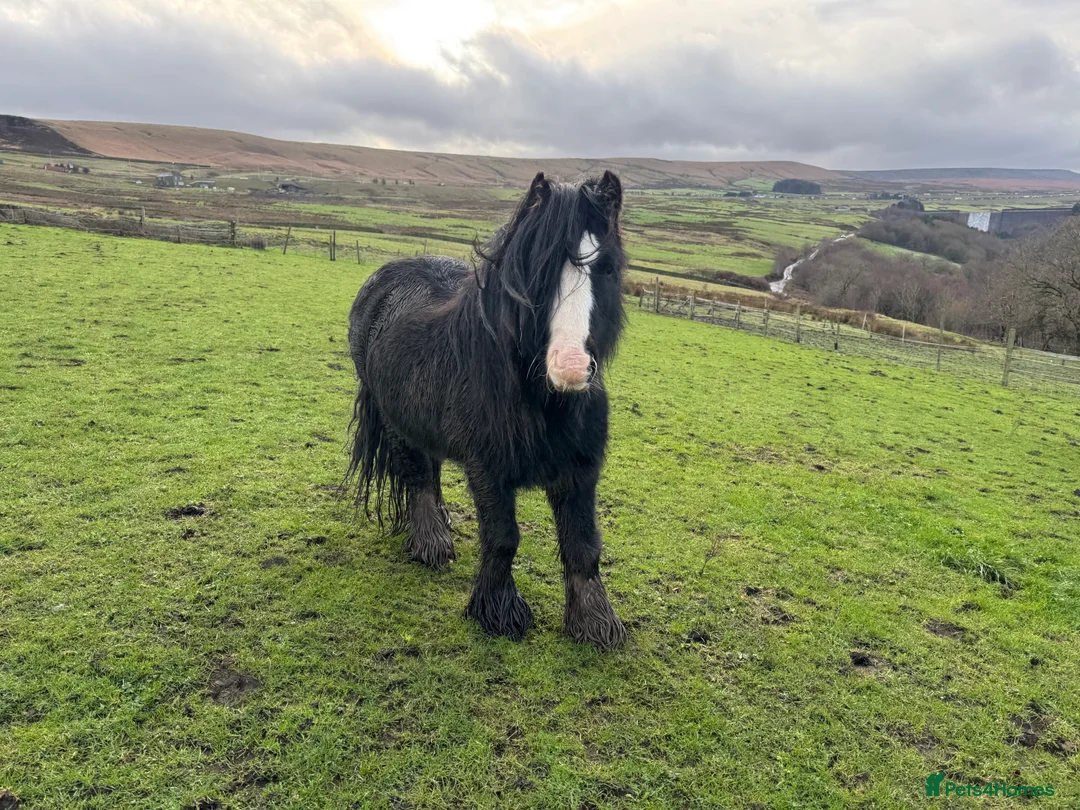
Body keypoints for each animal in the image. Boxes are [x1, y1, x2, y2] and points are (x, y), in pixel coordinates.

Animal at [345, 170, 627, 649]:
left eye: (605, 268)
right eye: (537, 271)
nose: (570, 366)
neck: (540, 402)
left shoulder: (580, 472)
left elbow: (584, 546)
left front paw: (595, 623)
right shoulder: (488, 470)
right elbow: (502, 539)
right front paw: (498, 612)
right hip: (396, 421)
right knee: (418, 477)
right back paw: (432, 543)